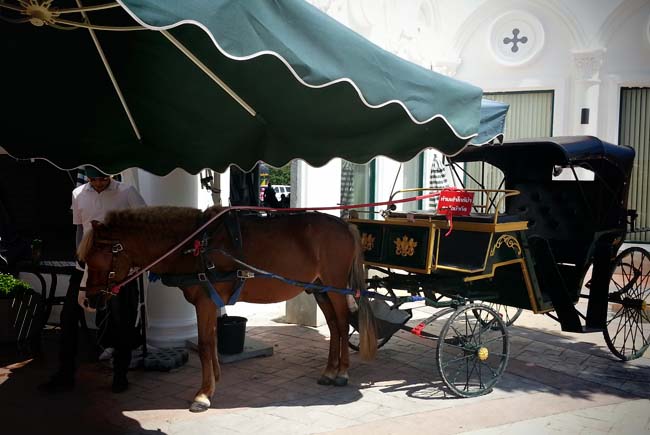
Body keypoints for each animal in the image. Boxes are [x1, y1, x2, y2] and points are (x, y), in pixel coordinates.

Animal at [78, 207, 378, 412]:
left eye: (96, 259)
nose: (89, 300)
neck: (193, 245)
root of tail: (344, 224)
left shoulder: (205, 302)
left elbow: (204, 343)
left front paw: (203, 394)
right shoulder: (209, 303)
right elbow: (210, 342)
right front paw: (214, 381)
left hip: (335, 288)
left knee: (342, 326)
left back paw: (342, 373)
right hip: (319, 289)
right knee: (335, 327)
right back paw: (329, 371)